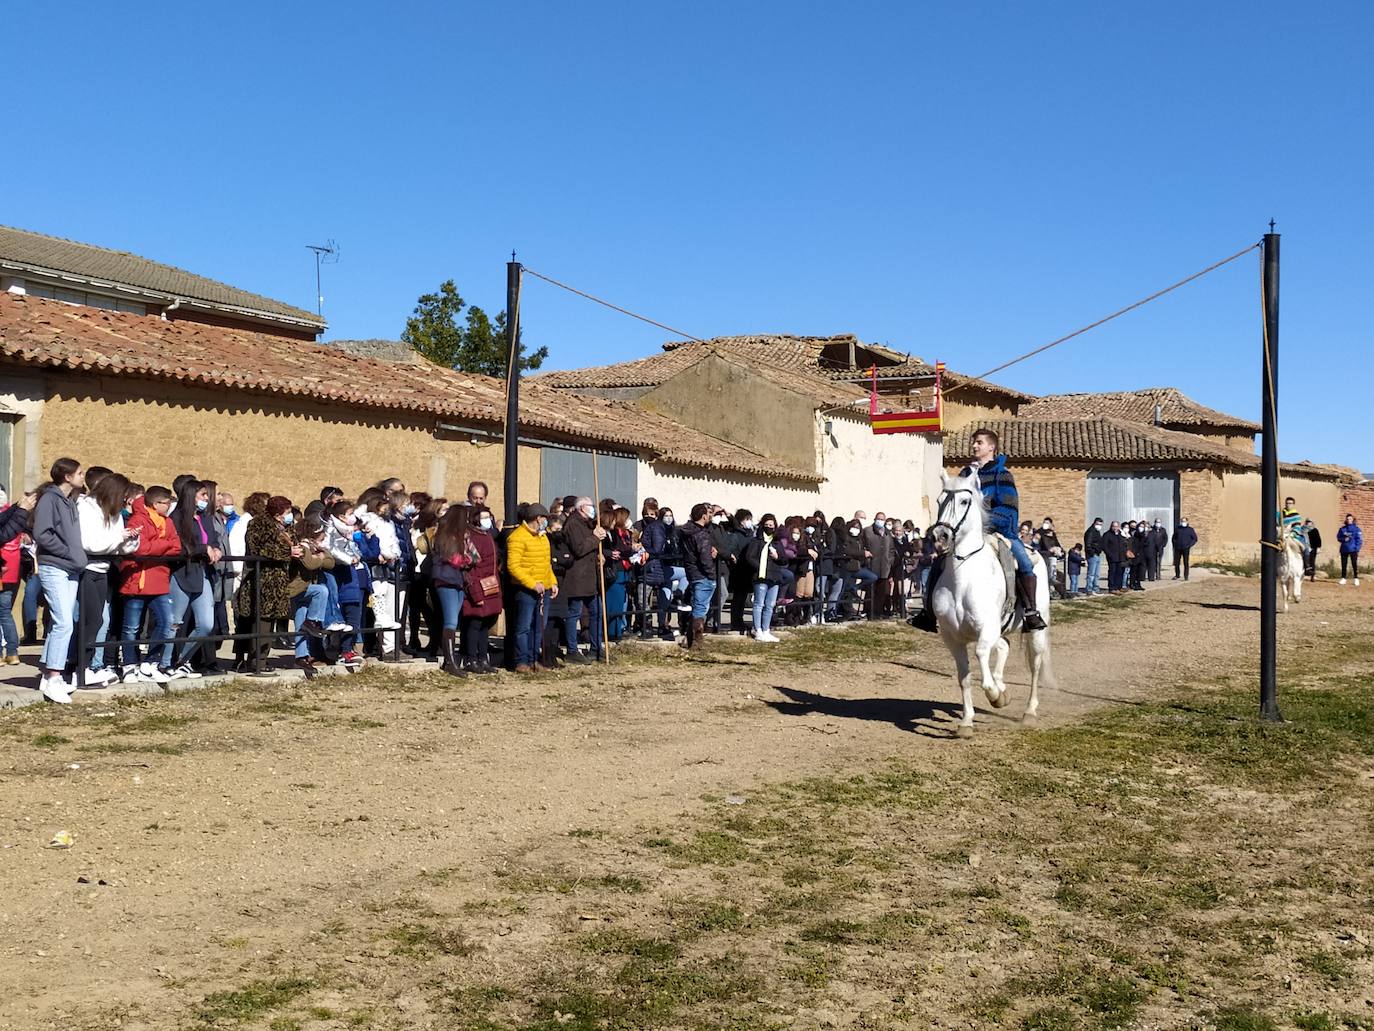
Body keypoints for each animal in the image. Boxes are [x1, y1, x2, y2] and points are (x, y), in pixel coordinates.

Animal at [928, 472, 1055, 736]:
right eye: (939, 500)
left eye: (965, 501)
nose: (940, 537)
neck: (963, 578)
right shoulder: (952, 637)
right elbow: (964, 678)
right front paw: (966, 722)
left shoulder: (986, 630)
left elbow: (982, 666)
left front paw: (996, 696)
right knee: (1004, 646)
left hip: (1036, 632)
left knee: (1035, 666)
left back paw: (1029, 711)